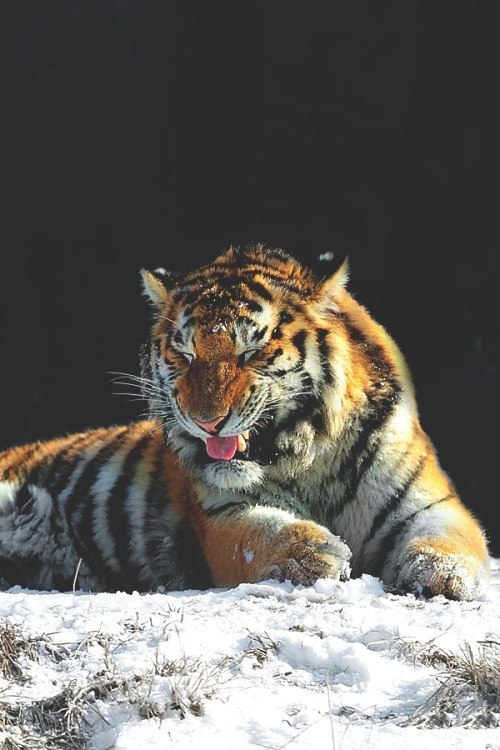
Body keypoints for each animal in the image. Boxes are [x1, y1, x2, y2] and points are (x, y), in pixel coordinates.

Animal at [0, 243, 490, 600]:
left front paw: (442, 574)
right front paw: (319, 554)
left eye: (251, 352)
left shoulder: (429, 503)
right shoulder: (222, 515)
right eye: (185, 354)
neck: (310, 461)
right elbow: (265, 533)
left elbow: (450, 538)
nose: (207, 423)